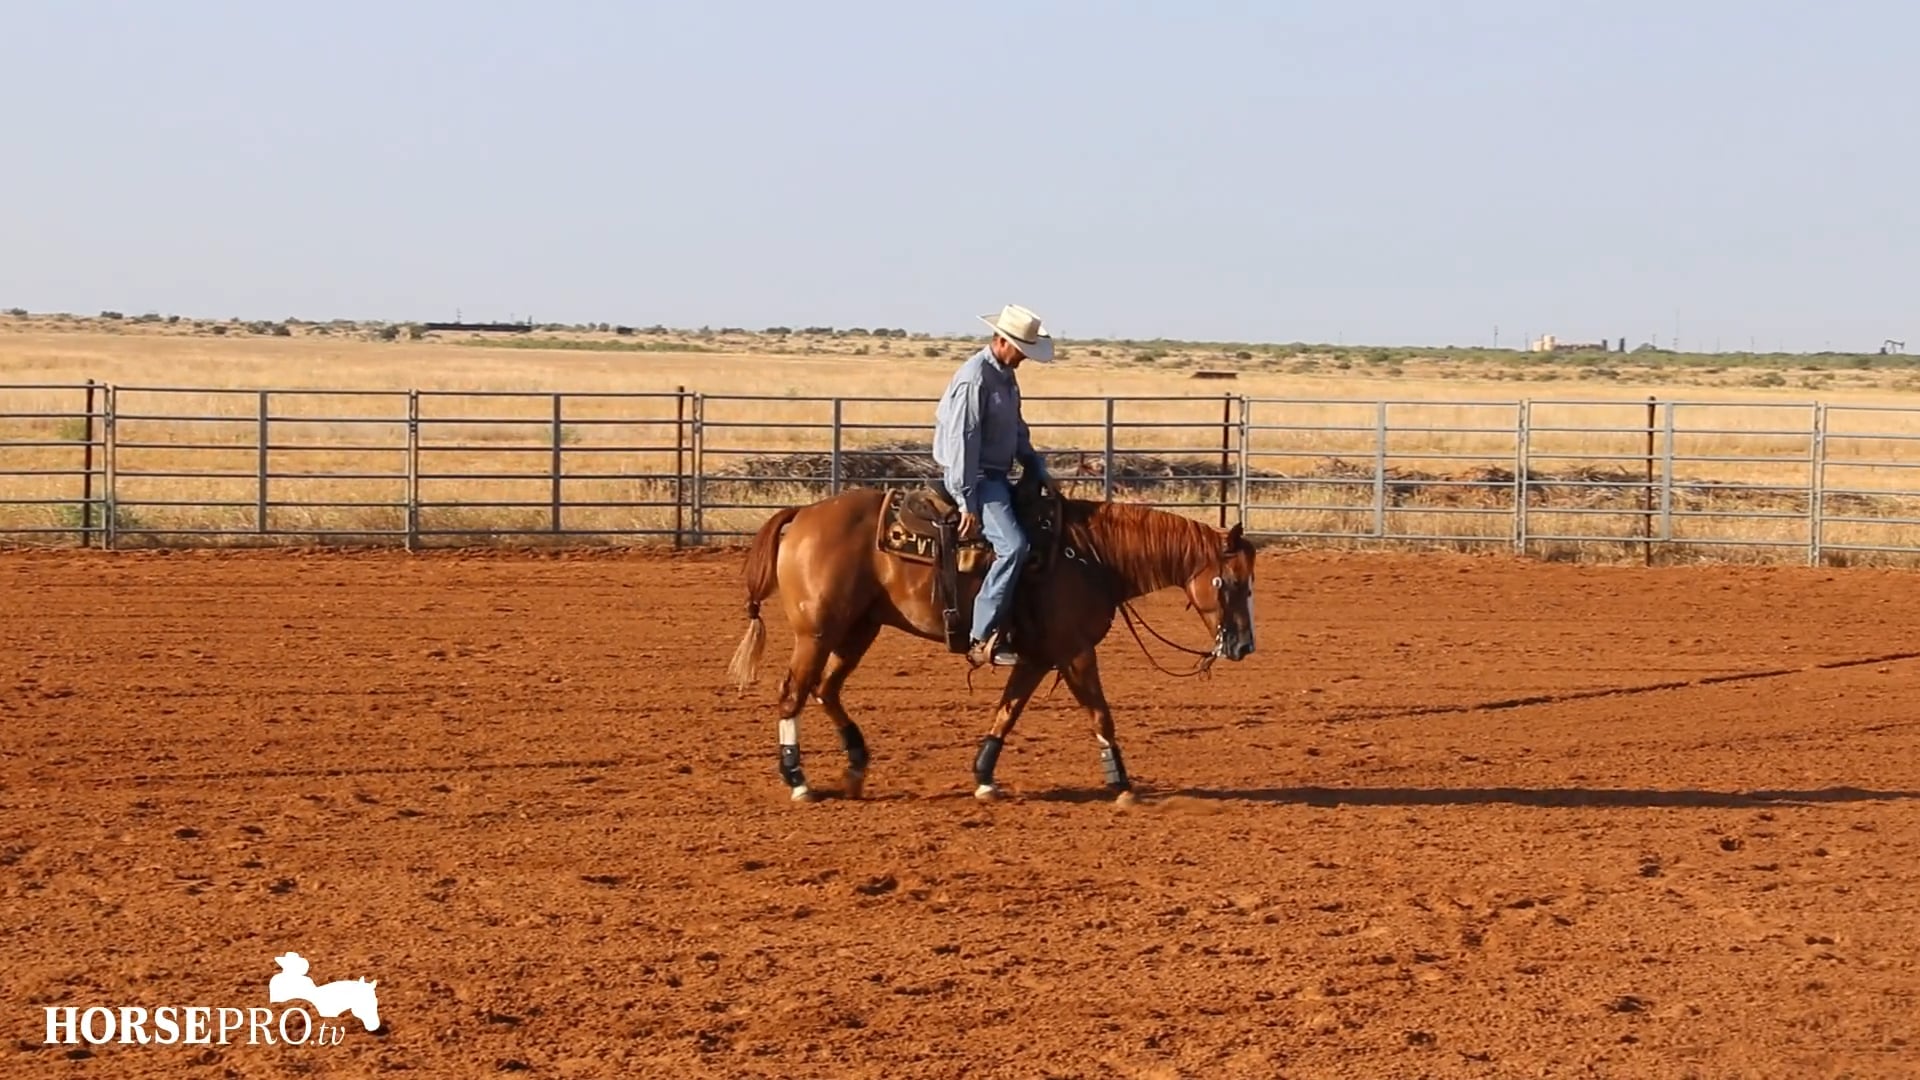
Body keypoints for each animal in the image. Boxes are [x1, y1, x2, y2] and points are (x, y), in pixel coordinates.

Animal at [724, 475, 1258, 805]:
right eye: (1232, 582)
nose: (1243, 647)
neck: (1089, 556)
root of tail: (800, 516)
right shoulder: (1075, 652)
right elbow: (1100, 712)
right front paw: (1122, 783)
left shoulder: (1038, 657)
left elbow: (1008, 710)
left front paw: (983, 776)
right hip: (816, 632)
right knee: (793, 692)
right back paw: (798, 781)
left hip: (858, 629)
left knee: (826, 688)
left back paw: (855, 766)